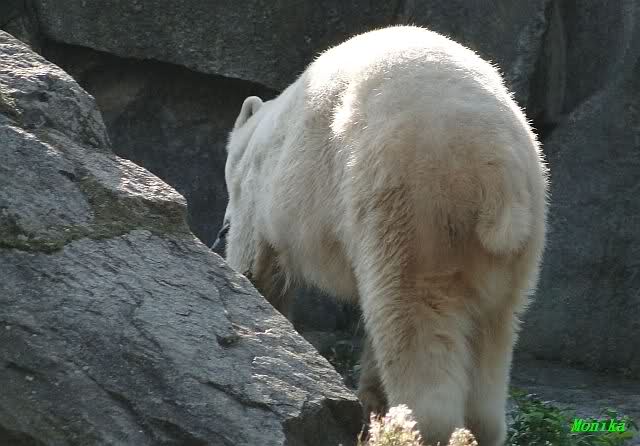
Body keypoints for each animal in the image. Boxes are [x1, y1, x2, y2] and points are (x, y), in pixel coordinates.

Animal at [216, 25, 548, 446]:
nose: (221, 226)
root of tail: (495, 173)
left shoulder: (261, 195)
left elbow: (256, 269)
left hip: (408, 207)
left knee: (408, 315)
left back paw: (409, 427)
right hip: (517, 246)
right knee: (492, 337)